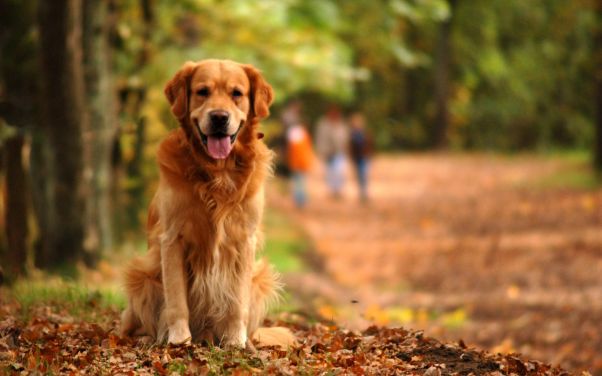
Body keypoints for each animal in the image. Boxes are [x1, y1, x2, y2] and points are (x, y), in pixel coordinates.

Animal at [120, 59, 292, 350]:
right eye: (202, 91)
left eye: (237, 93)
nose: (219, 117)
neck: (217, 173)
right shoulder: (173, 238)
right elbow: (177, 299)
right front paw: (179, 339)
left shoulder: (244, 239)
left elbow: (237, 301)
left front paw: (235, 340)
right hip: (140, 273)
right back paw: (148, 337)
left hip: (261, 278)